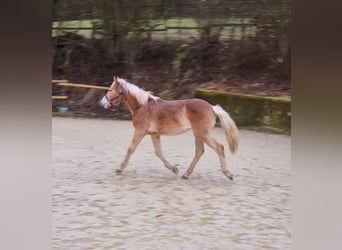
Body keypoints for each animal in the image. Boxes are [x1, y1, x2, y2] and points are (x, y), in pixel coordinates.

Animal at [99, 75, 238, 180]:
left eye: (110, 90)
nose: (102, 103)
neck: (143, 107)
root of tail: (212, 107)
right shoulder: (154, 134)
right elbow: (159, 152)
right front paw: (174, 169)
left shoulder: (140, 132)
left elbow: (130, 149)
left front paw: (119, 168)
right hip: (198, 134)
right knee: (199, 152)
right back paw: (186, 174)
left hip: (203, 134)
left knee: (219, 148)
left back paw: (228, 174)